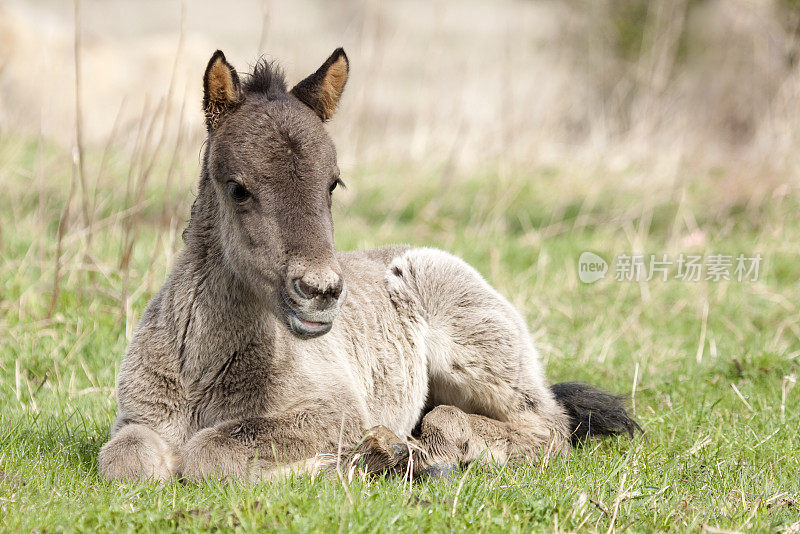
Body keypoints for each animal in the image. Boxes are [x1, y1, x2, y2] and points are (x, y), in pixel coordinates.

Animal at [100, 49, 636, 482]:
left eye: (333, 183)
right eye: (238, 188)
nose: (319, 293)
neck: (202, 369)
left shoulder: (331, 410)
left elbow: (209, 453)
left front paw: (349, 461)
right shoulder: (137, 419)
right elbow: (127, 462)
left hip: (480, 353)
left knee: (545, 425)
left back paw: (415, 452)